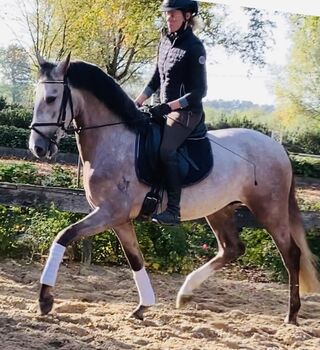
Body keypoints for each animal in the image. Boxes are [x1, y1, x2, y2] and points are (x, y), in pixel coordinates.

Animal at [28, 54, 318, 326]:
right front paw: (143, 307)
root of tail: (278, 148)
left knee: (291, 253)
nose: (38, 148)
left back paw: (292, 314)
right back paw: (185, 294)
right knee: (231, 249)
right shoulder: (118, 219)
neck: (114, 139)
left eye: (52, 98)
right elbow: (135, 259)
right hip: (219, 210)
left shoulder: (109, 213)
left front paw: (45, 299)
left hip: (269, 209)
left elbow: (63, 236)